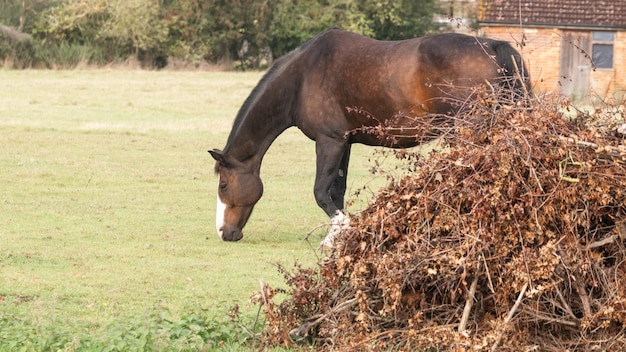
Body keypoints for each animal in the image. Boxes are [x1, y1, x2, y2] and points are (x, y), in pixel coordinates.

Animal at [208, 27, 528, 246]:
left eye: (224, 185)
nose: (224, 232)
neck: (302, 78)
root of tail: (493, 46)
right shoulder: (345, 143)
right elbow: (336, 191)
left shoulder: (329, 141)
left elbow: (321, 192)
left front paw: (338, 234)